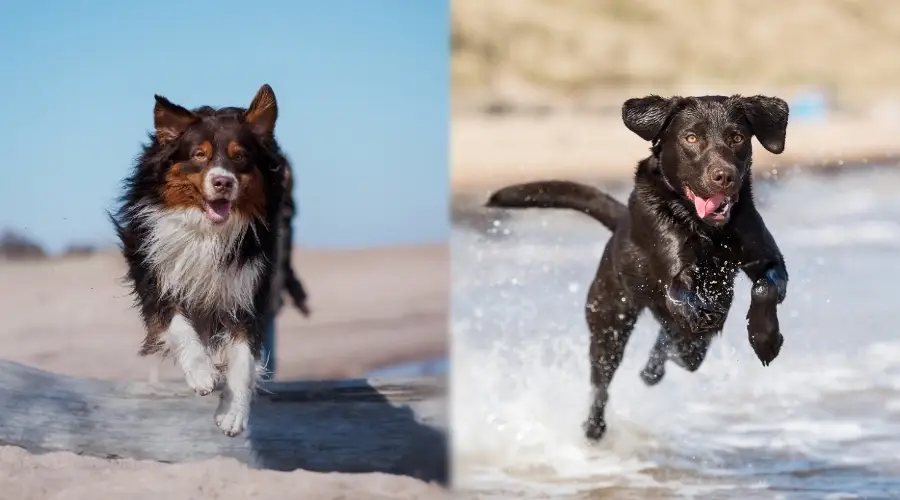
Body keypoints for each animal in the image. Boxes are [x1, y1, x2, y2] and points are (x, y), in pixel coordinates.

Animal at [110, 84, 308, 436]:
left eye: (240, 156)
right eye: (199, 155)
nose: (222, 182)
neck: (209, 232)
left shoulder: (249, 290)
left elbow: (243, 357)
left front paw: (233, 411)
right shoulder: (154, 273)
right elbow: (177, 323)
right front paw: (201, 372)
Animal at [488, 94, 792, 442]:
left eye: (737, 137)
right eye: (691, 138)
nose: (725, 176)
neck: (708, 231)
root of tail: (620, 224)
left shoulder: (769, 260)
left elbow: (765, 286)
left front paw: (765, 337)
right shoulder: (675, 275)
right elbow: (684, 293)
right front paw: (708, 312)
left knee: (674, 346)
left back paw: (652, 370)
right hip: (608, 323)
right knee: (603, 381)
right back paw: (594, 428)